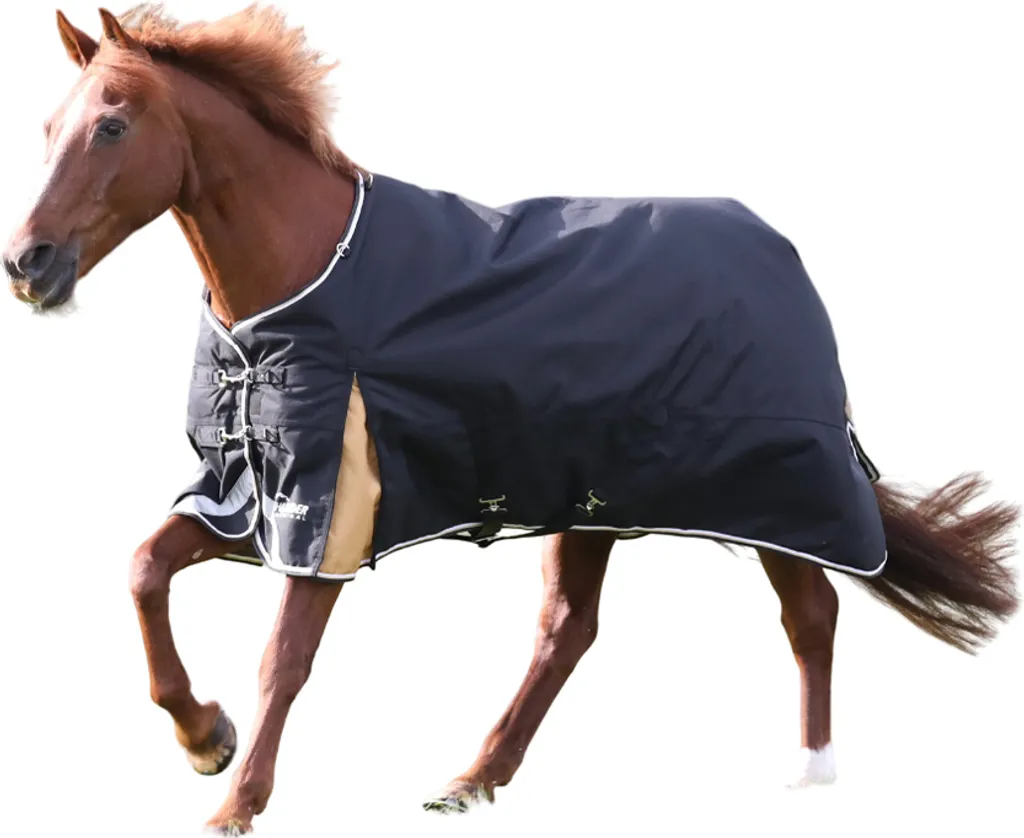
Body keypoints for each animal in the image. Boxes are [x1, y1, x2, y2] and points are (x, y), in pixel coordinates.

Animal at [4, 6, 1020, 835]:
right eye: (49, 126)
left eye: (111, 124)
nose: (28, 264)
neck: (306, 276)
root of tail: (784, 253)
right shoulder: (247, 498)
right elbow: (145, 570)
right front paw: (204, 736)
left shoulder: (328, 508)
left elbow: (283, 659)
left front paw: (234, 802)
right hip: (599, 498)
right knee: (569, 630)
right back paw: (471, 780)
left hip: (776, 486)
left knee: (810, 611)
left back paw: (809, 777)